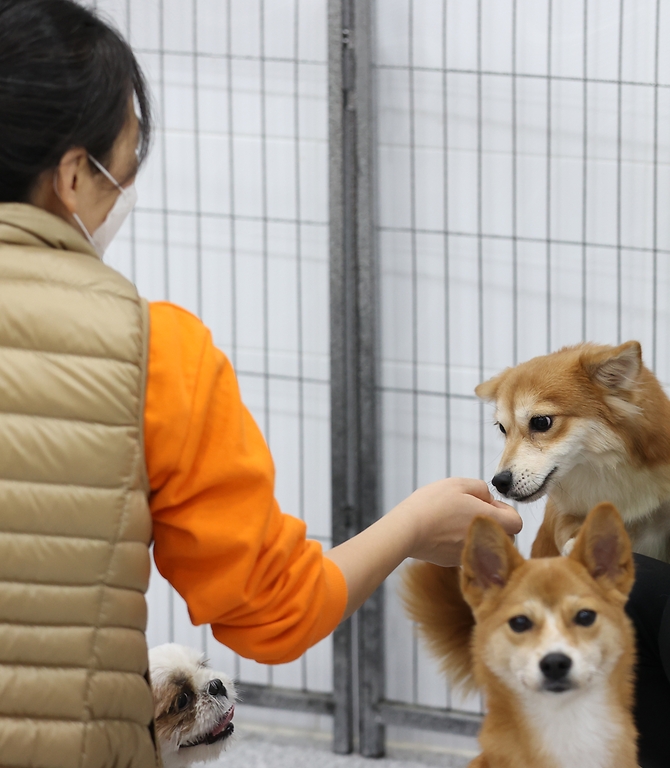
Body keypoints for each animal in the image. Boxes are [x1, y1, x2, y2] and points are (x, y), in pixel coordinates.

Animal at [476, 340, 670, 560]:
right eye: (502, 428)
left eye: (541, 422)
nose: (499, 482)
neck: (607, 471)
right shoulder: (560, 514)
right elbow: (569, 528)